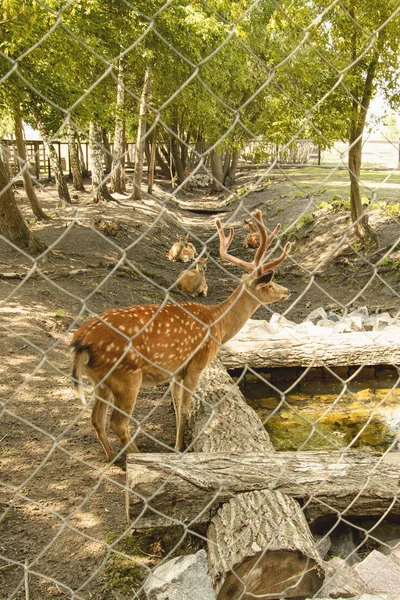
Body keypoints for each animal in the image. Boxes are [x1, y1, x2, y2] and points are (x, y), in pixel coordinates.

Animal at [71, 211, 290, 460]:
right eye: (269, 284)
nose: (287, 291)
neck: (218, 325)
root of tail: (80, 341)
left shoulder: (175, 371)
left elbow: (176, 407)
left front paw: (177, 443)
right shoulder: (196, 363)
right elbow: (185, 409)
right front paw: (180, 448)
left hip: (100, 380)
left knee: (96, 419)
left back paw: (112, 457)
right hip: (125, 376)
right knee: (117, 423)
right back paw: (135, 456)